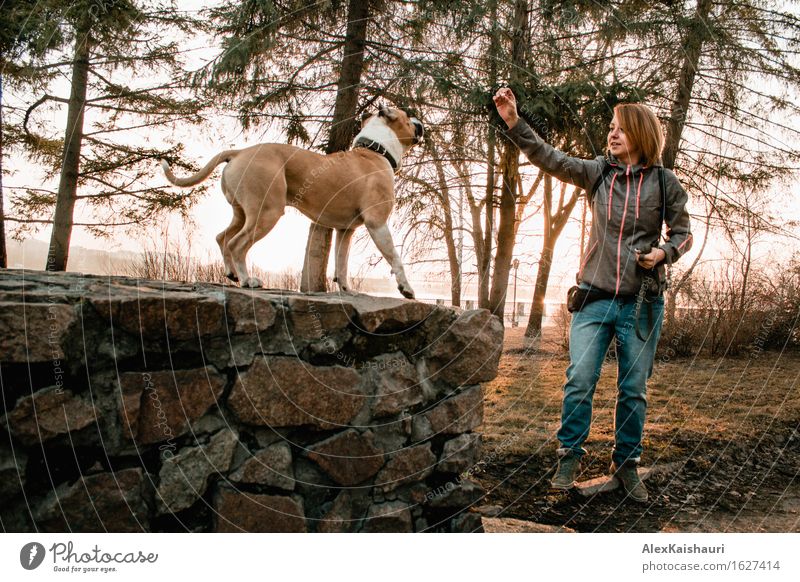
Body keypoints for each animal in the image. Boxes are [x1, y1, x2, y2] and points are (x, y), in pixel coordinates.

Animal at [162, 105, 424, 298]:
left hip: (243, 213)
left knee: (222, 237)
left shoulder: (344, 230)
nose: (419, 121)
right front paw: (407, 289)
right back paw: (247, 280)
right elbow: (395, 258)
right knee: (237, 244)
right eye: (407, 118)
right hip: (267, 213)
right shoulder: (377, 223)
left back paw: (232, 274)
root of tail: (239, 152)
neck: (376, 149)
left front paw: (346, 289)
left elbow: (341, 261)